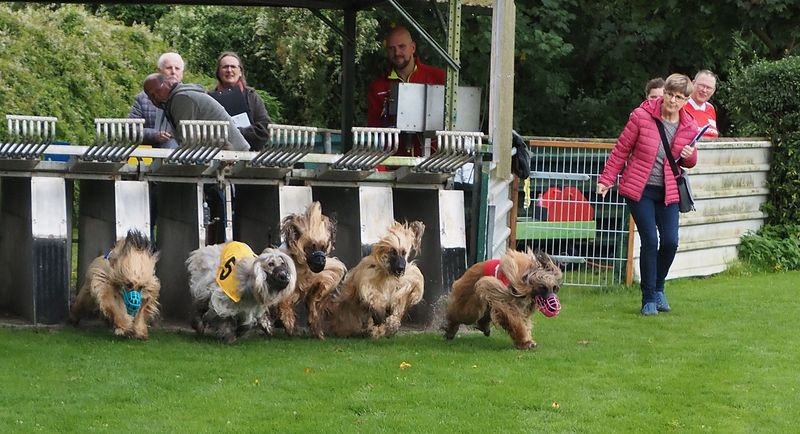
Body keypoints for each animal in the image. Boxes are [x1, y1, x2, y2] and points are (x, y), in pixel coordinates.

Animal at [275, 201, 347, 338]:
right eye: (311, 247)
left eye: (323, 247)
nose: (321, 259)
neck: (303, 266)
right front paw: (287, 322)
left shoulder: (324, 275)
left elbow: (318, 293)